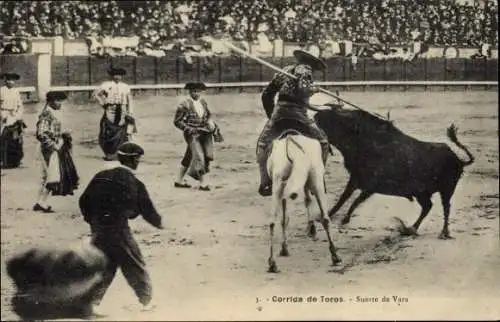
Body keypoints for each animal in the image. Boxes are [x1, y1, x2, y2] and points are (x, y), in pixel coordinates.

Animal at [266, 130, 340, 272]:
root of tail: (292, 149)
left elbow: (284, 219)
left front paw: (284, 249)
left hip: (278, 185)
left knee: (272, 221)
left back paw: (272, 263)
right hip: (315, 181)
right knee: (325, 218)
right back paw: (335, 256)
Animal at [314, 105, 474, 239]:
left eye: (338, 118)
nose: (317, 114)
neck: (366, 141)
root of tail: (459, 159)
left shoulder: (365, 182)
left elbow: (350, 199)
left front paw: (336, 217)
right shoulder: (362, 182)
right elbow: (350, 199)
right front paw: (335, 217)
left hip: (446, 189)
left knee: (445, 207)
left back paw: (443, 232)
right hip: (422, 193)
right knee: (428, 206)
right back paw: (411, 229)